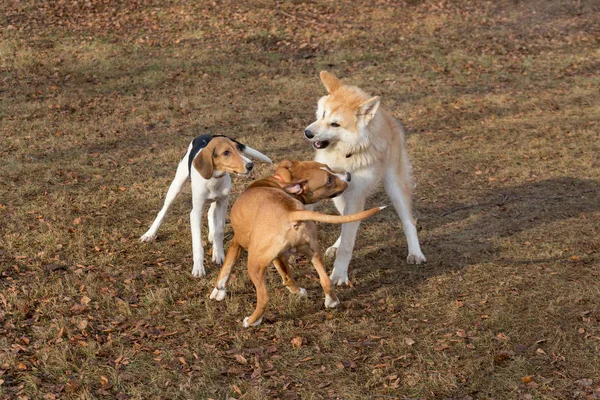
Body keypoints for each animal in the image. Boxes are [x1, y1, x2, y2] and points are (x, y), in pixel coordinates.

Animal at [209, 160, 382, 328]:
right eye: (329, 178)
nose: (348, 175)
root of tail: (291, 213)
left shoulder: (236, 242)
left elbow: (227, 267)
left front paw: (218, 291)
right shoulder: (280, 256)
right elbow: (287, 276)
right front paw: (298, 292)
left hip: (254, 265)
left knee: (264, 298)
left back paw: (251, 321)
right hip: (314, 253)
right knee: (325, 281)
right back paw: (331, 302)